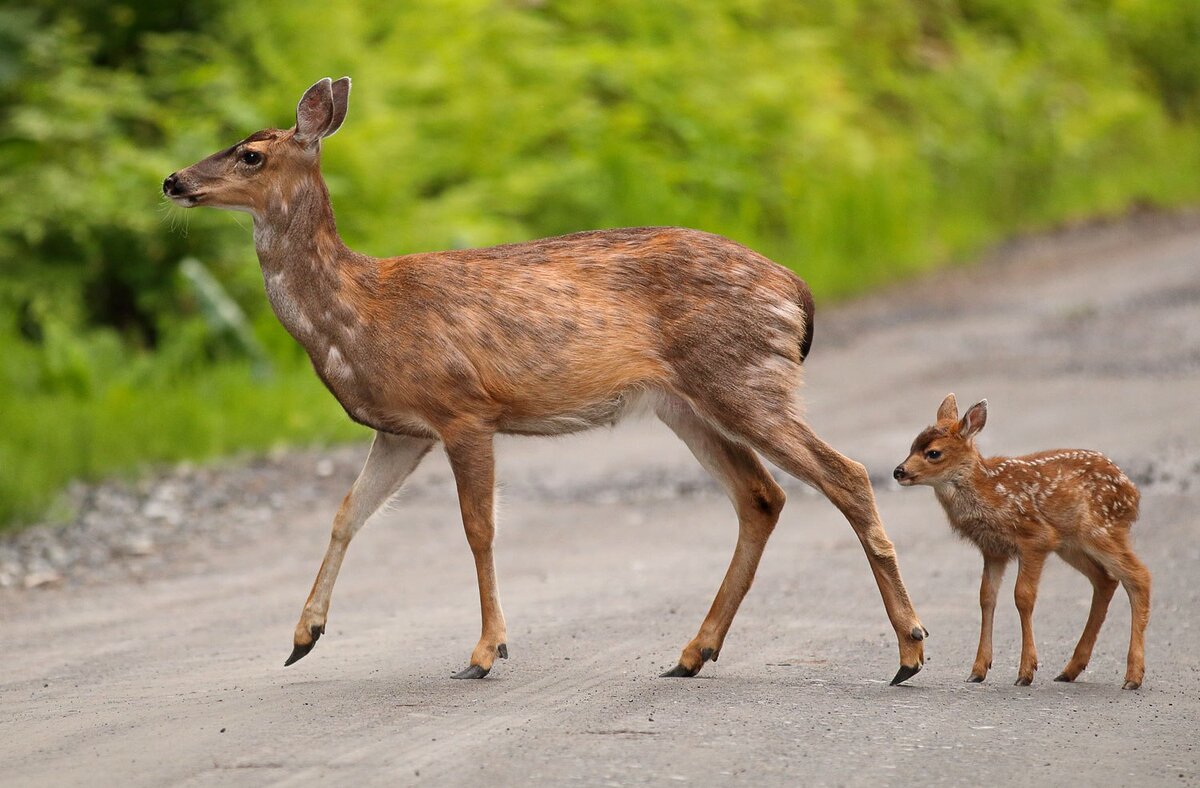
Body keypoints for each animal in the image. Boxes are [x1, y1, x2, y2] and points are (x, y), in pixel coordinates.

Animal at [162, 78, 926, 681]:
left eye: (251, 153)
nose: (173, 181)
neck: (360, 312)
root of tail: (796, 290)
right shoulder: (403, 429)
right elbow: (348, 512)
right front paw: (303, 637)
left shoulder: (463, 408)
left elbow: (478, 528)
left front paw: (484, 652)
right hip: (687, 402)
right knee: (762, 497)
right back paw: (692, 653)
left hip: (743, 376)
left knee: (845, 473)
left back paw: (910, 650)